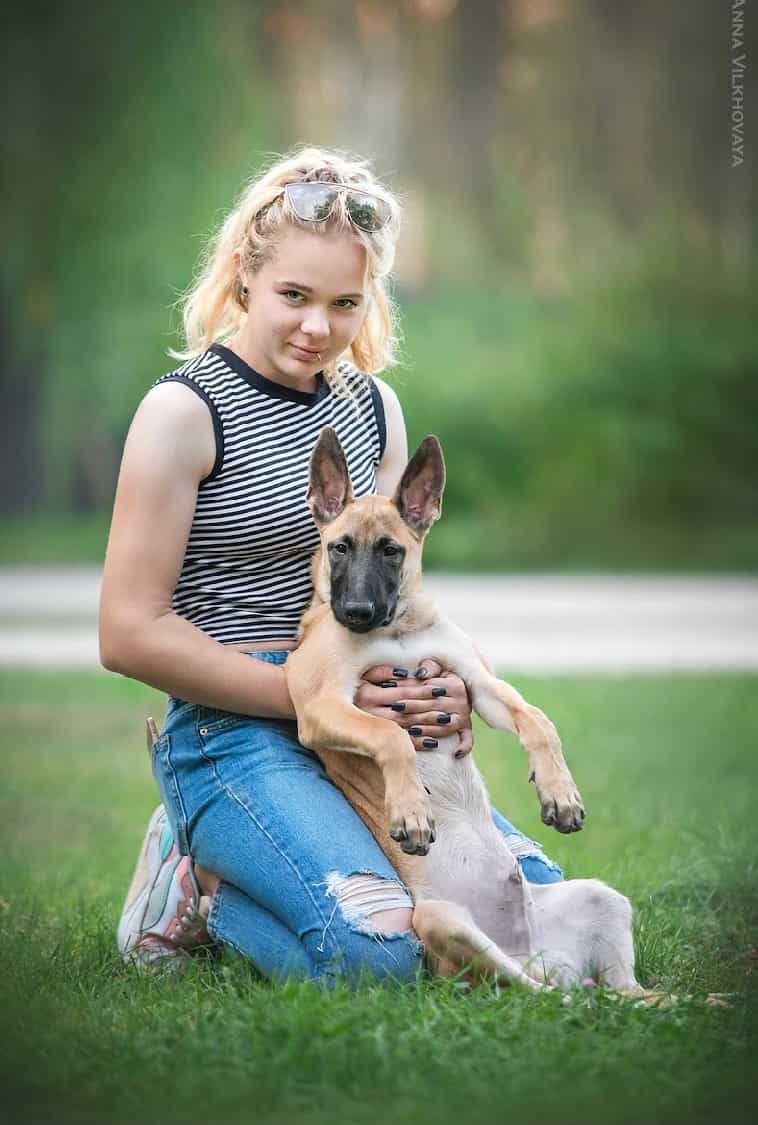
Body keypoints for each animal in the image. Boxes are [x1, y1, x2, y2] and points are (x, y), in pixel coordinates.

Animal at [284, 427, 645, 994]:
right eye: (338, 547)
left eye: (391, 551)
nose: (357, 613)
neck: (399, 629)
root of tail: (535, 955)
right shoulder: (322, 709)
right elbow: (390, 736)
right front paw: (412, 811)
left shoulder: (477, 684)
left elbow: (537, 719)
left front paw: (560, 794)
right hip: (441, 921)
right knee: (541, 997)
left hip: (602, 898)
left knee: (623, 993)